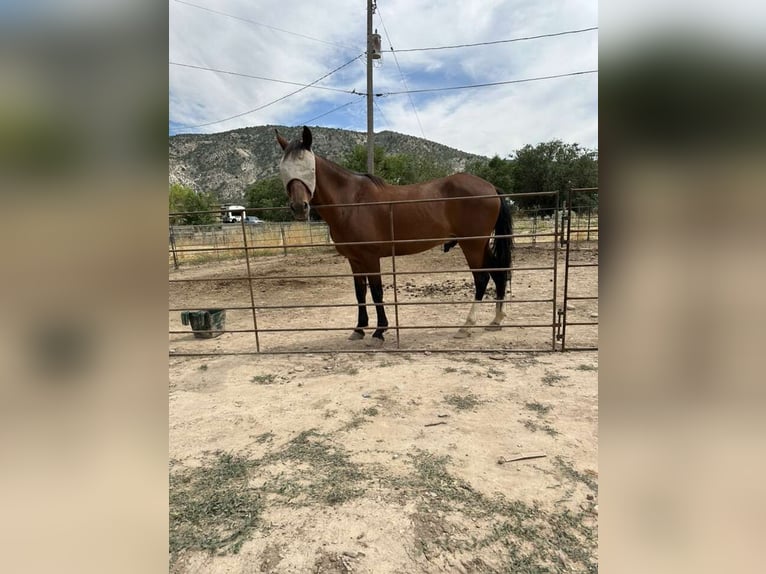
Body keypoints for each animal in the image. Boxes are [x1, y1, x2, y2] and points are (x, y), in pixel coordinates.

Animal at [276, 126, 516, 342]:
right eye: (284, 170)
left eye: (309, 168)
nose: (299, 207)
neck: (352, 202)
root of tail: (491, 188)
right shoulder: (355, 259)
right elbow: (360, 292)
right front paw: (359, 328)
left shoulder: (370, 258)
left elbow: (376, 292)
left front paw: (379, 331)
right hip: (481, 245)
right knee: (498, 272)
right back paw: (496, 320)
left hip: (472, 245)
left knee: (482, 278)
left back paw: (466, 326)